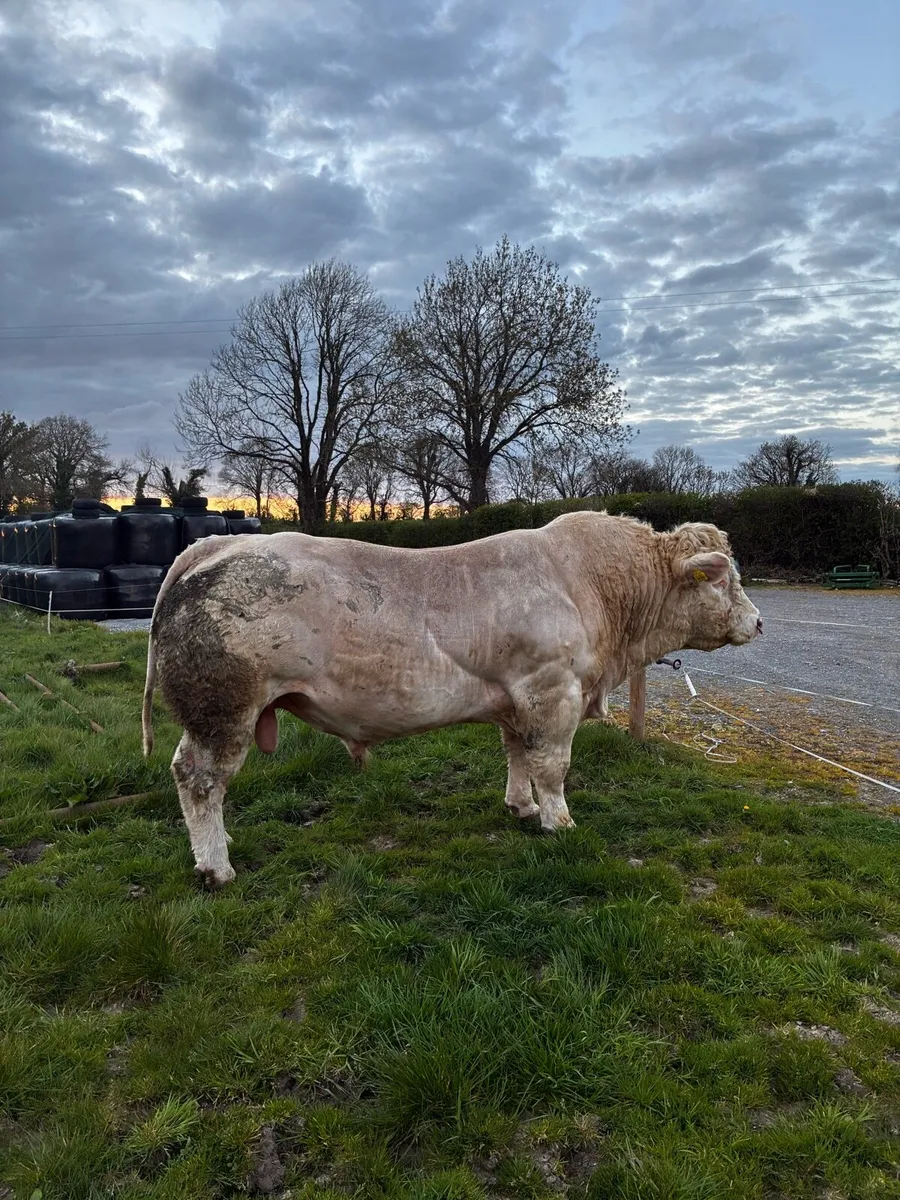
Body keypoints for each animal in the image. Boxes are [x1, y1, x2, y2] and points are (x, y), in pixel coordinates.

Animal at [142, 513, 761, 887]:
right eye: (723, 580)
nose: (758, 622)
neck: (594, 587)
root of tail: (218, 544)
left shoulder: (517, 697)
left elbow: (518, 755)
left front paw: (521, 806)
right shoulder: (552, 690)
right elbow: (552, 764)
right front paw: (559, 822)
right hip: (222, 710)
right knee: (198, 779)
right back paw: (216, 866)